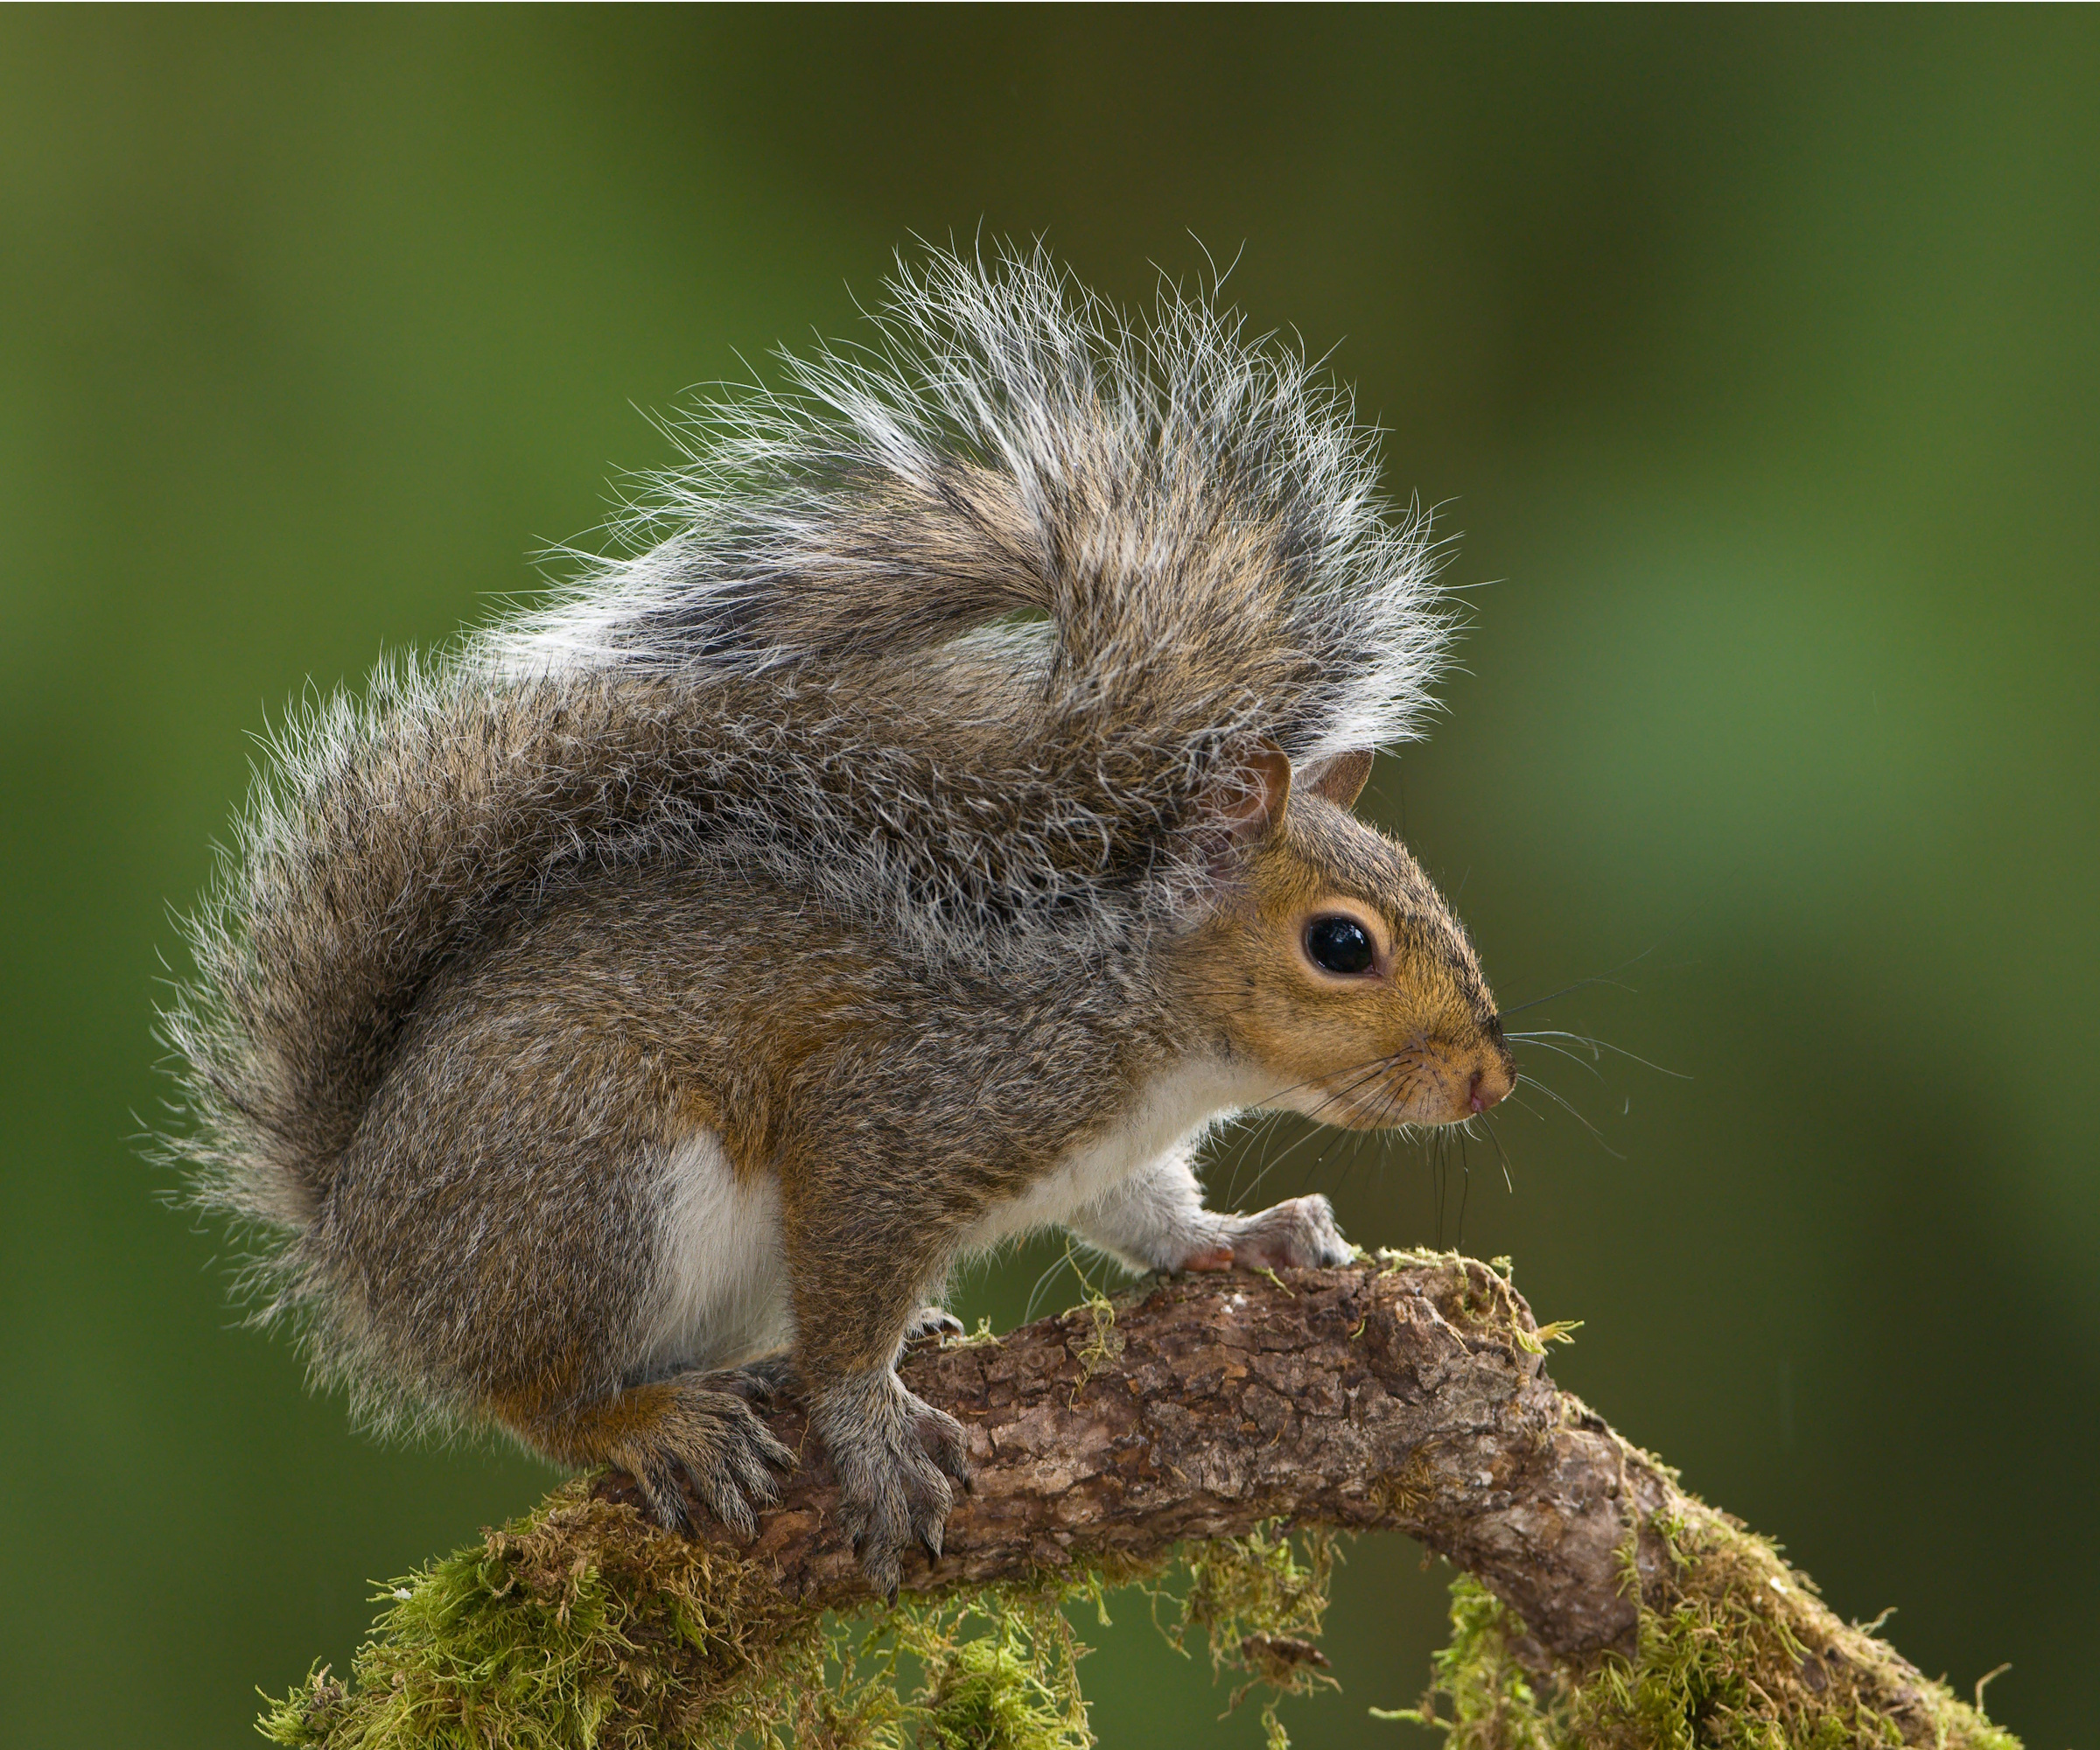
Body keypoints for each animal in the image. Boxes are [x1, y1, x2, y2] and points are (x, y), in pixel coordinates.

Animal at [160, 248, 1515, 1597]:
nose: (1488, 1080)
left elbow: (1150, 1219)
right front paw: (872, 1427)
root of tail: (355, 1230)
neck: (1150, 1035)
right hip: (589, 1188)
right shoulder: (904, 1115)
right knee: (535, 1395)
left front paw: (1250, 1236)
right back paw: (649, 1422)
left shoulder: (1101, 1154)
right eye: (1342, 944)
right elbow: (852, 1291)